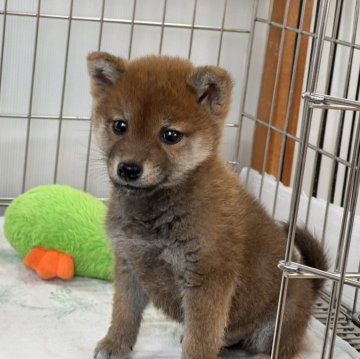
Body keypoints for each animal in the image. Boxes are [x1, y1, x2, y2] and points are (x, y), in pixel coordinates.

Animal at [86, 51, 326, 359]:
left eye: (170, 135)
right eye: (120, 126)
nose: (128, 169)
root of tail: (309, 285)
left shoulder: (208, 278)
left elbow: (201, 338)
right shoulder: (130, 264)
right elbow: (124, 313)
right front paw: (115, 344)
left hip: (276, 324)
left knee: (281, 347)